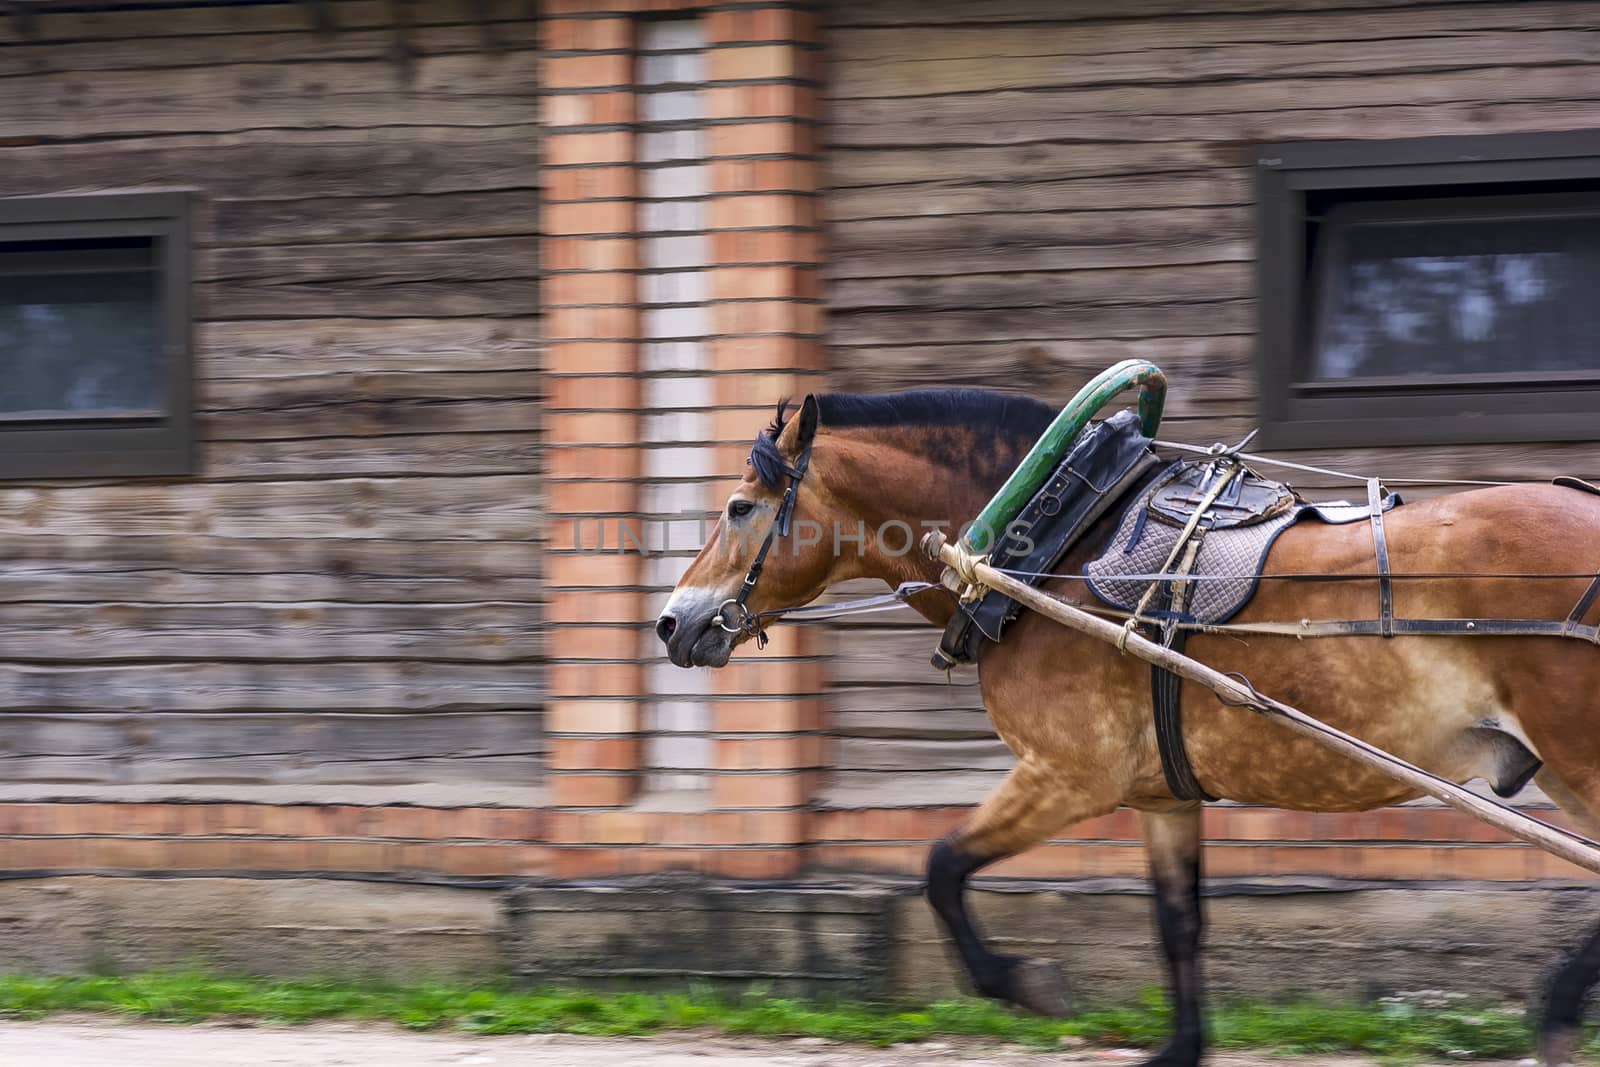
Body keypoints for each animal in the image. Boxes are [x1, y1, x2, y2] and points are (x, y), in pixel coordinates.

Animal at [652, 390, 1600, 1067]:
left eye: (738, 507)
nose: (671, 622)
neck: (1059, 542)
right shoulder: (1160, 798)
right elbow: (1177, 922)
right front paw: (1179, 1047)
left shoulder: (1068, 775)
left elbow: (942, 867)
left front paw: (1025, 983)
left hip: (1580, 757)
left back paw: (1557, 1013)